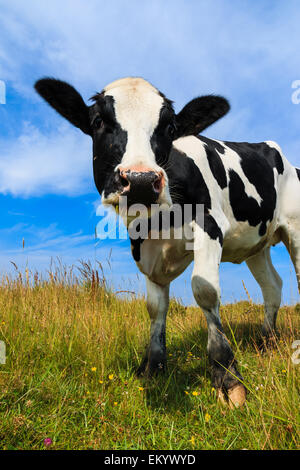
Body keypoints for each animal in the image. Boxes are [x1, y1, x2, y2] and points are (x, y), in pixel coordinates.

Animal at [35, 77, 300, 408]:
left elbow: (204, 291)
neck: (161, 221)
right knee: (273, 286)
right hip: (256, 245)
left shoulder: (210, 226)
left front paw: (227, 376)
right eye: (98, 122)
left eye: (170, 127)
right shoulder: (145, 249)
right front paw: (153, 367)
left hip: (295, 228)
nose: (140, 180)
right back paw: (266, 342)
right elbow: (155, 307)